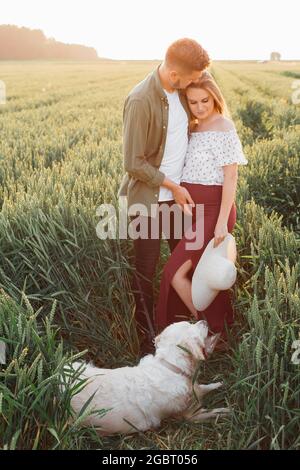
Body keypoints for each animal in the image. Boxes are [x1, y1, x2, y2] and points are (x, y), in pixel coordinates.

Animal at [62, 322, 227, 436]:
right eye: (191, 325)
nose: (204, 320)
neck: (170, 367)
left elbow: (203, 388)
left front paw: (219, 384)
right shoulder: (189, 414)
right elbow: (214, 411)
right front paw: (227, 411)